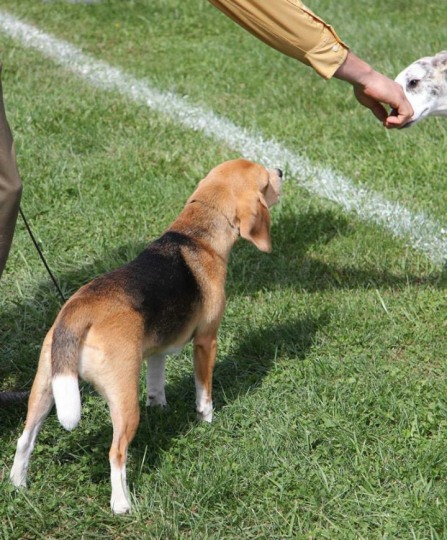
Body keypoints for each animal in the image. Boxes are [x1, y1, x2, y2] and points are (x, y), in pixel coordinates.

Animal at [10, 158, 282, 514]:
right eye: (265, 179)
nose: (281, 171)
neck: (196, 236)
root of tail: (78, 310)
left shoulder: (156, 349)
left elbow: (156, 381)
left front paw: (160, 406)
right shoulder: (206, 340)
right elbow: (204, 390)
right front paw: (207, 418)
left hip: (45, 386)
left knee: (24, 438)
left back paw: (17, 484)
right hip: (123, 401)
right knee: (116, 453)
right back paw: (122, 504)